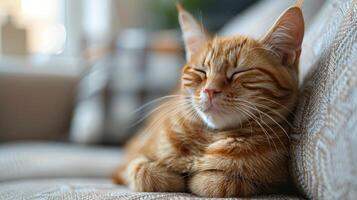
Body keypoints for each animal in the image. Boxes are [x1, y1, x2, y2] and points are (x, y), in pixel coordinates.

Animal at [112, 0, 302, 198]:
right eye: (201, 71)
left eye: (239, 72)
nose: (210, 90)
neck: (206, 139)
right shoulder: (133, 159)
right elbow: (143, 171)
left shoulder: (272, 182)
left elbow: (216, 182)